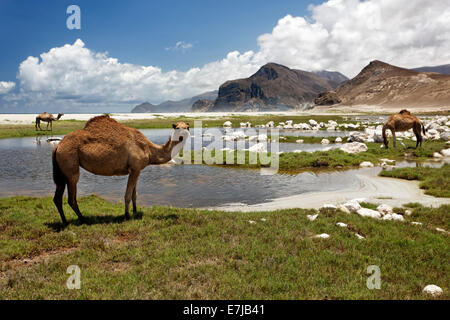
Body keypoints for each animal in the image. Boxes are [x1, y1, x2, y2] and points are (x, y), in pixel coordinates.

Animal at [52, 115, 190, 225]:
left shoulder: (136, 169)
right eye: (177, 127)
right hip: (70, 165)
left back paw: (65, 221)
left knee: (57, 197)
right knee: (71, 198)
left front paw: (135, 212)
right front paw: (127, 216)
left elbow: (135, 195)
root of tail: (58, 146)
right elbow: (127, 195)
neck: (149, 150)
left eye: (187, 127)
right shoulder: (134, 168)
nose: (182, 135)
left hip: (62, 171)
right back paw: (83, 219)